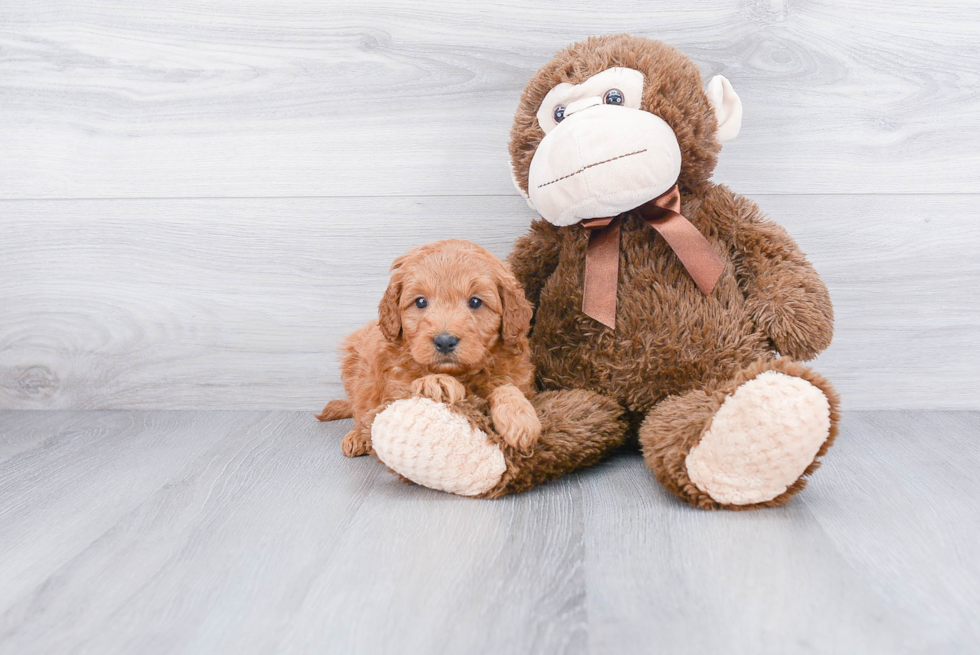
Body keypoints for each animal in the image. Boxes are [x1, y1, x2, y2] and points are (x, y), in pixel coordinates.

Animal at [316, 238, 540, 458]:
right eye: (421, 302)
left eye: (476, 302)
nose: (444, 341)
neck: (460, 373)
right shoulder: (390, 390)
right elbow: (413, 385)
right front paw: (438, 382)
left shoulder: (519, 378)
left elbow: (507, 387)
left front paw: (520, 419)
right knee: (359, 410)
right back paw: (357, 436)